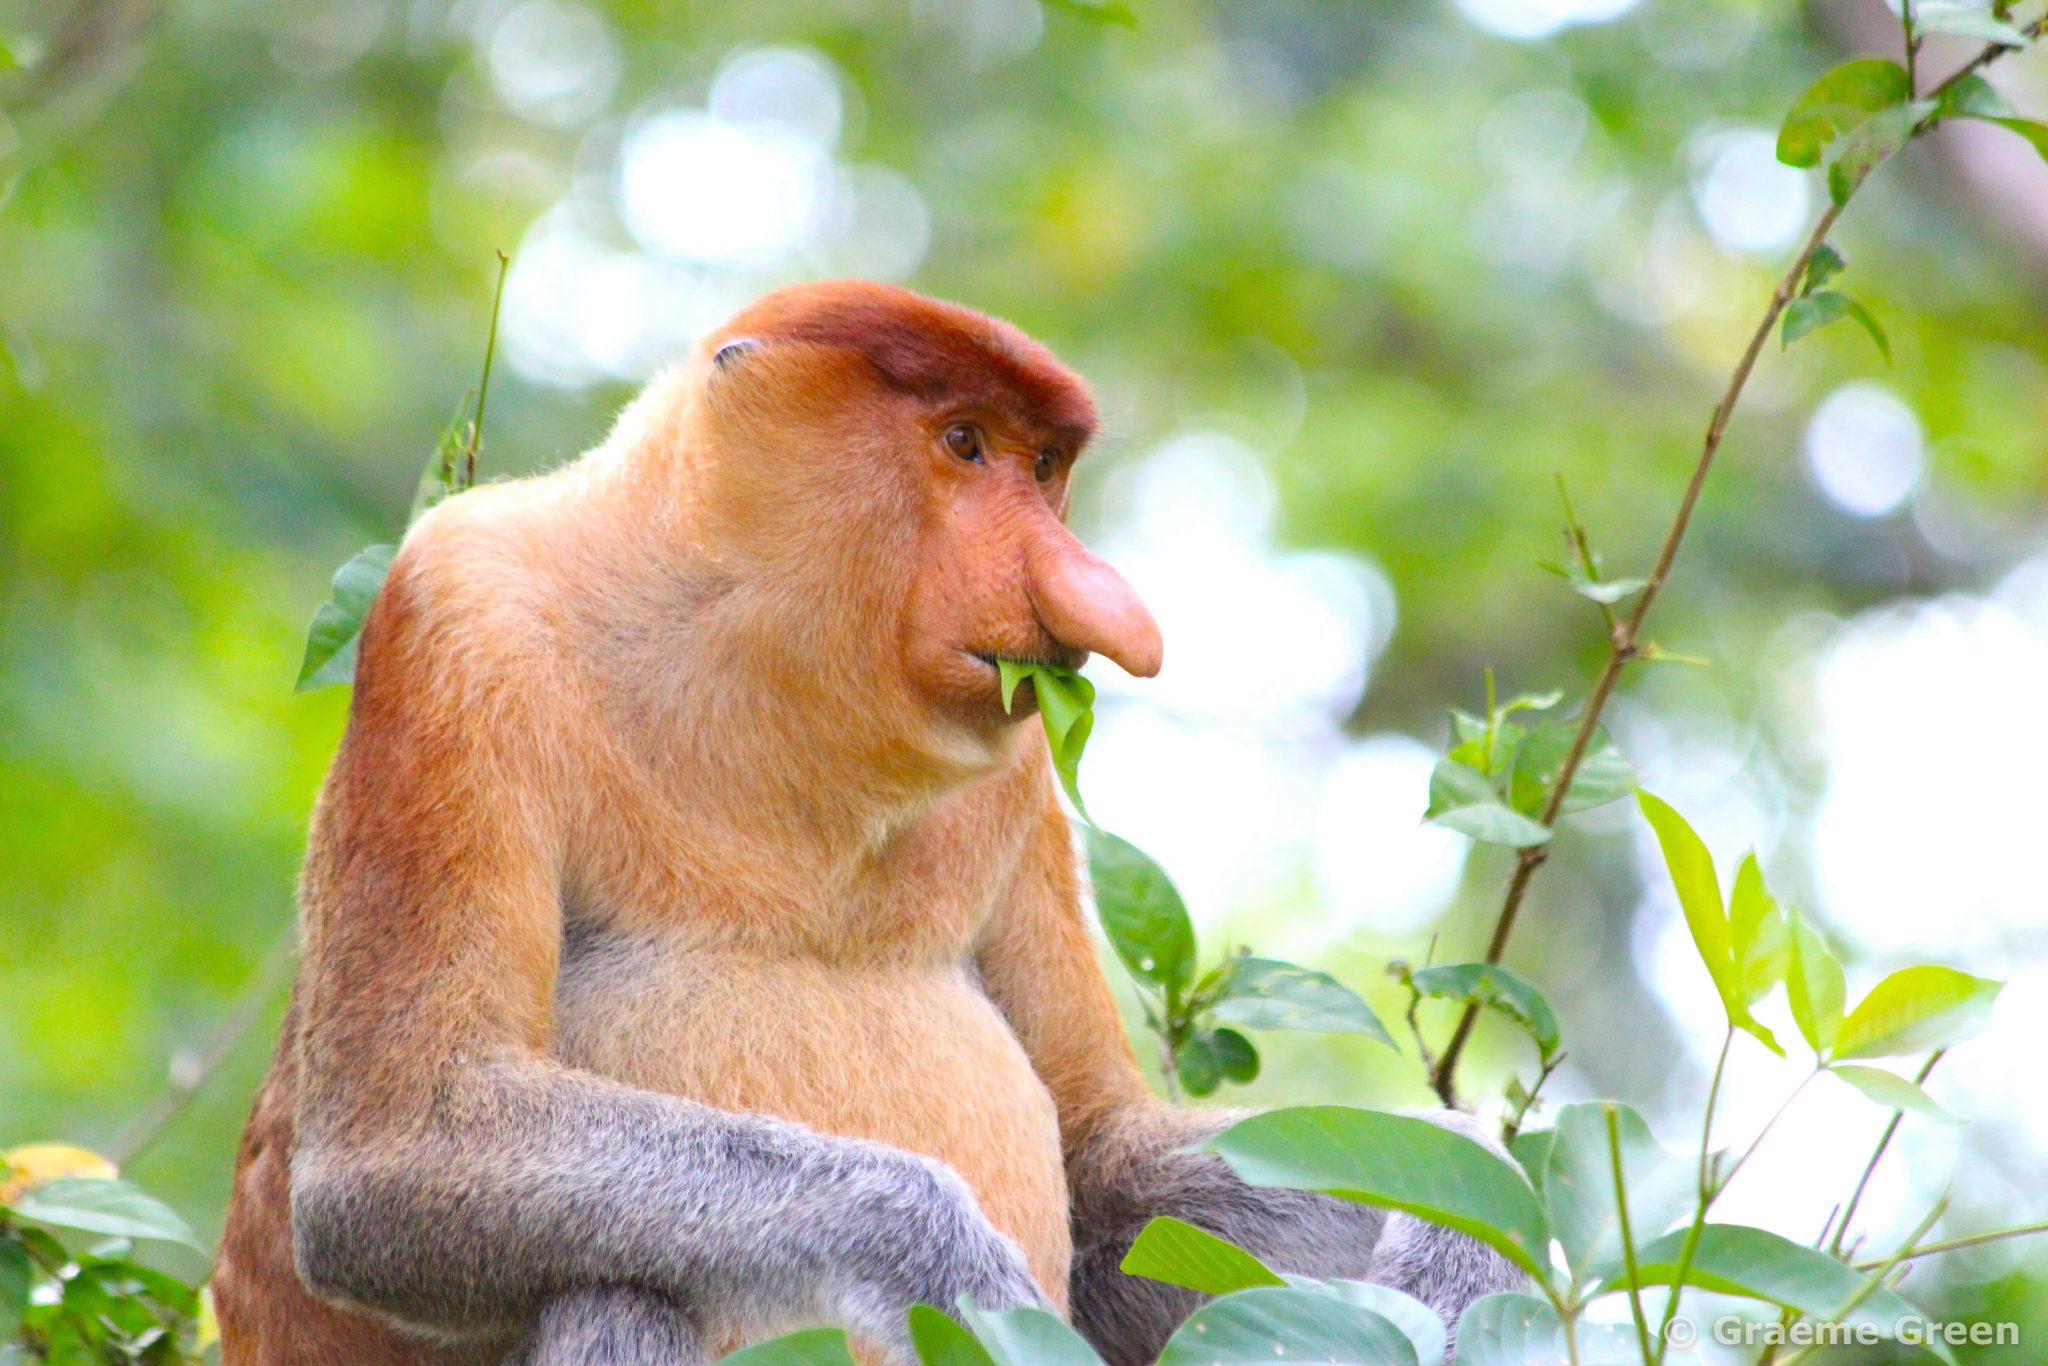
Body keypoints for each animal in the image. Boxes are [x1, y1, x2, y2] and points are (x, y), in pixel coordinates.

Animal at [212, 281, 1521, 1366]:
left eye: (1042, 465)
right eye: (963, 444)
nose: (1097, 601)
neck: (746, 663)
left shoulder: (1015, 771)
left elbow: (1100, 1167)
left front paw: (1471, 1220)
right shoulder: (456, 615)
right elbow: (393, 1155)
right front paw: (951, 1274)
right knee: (616, 1285)